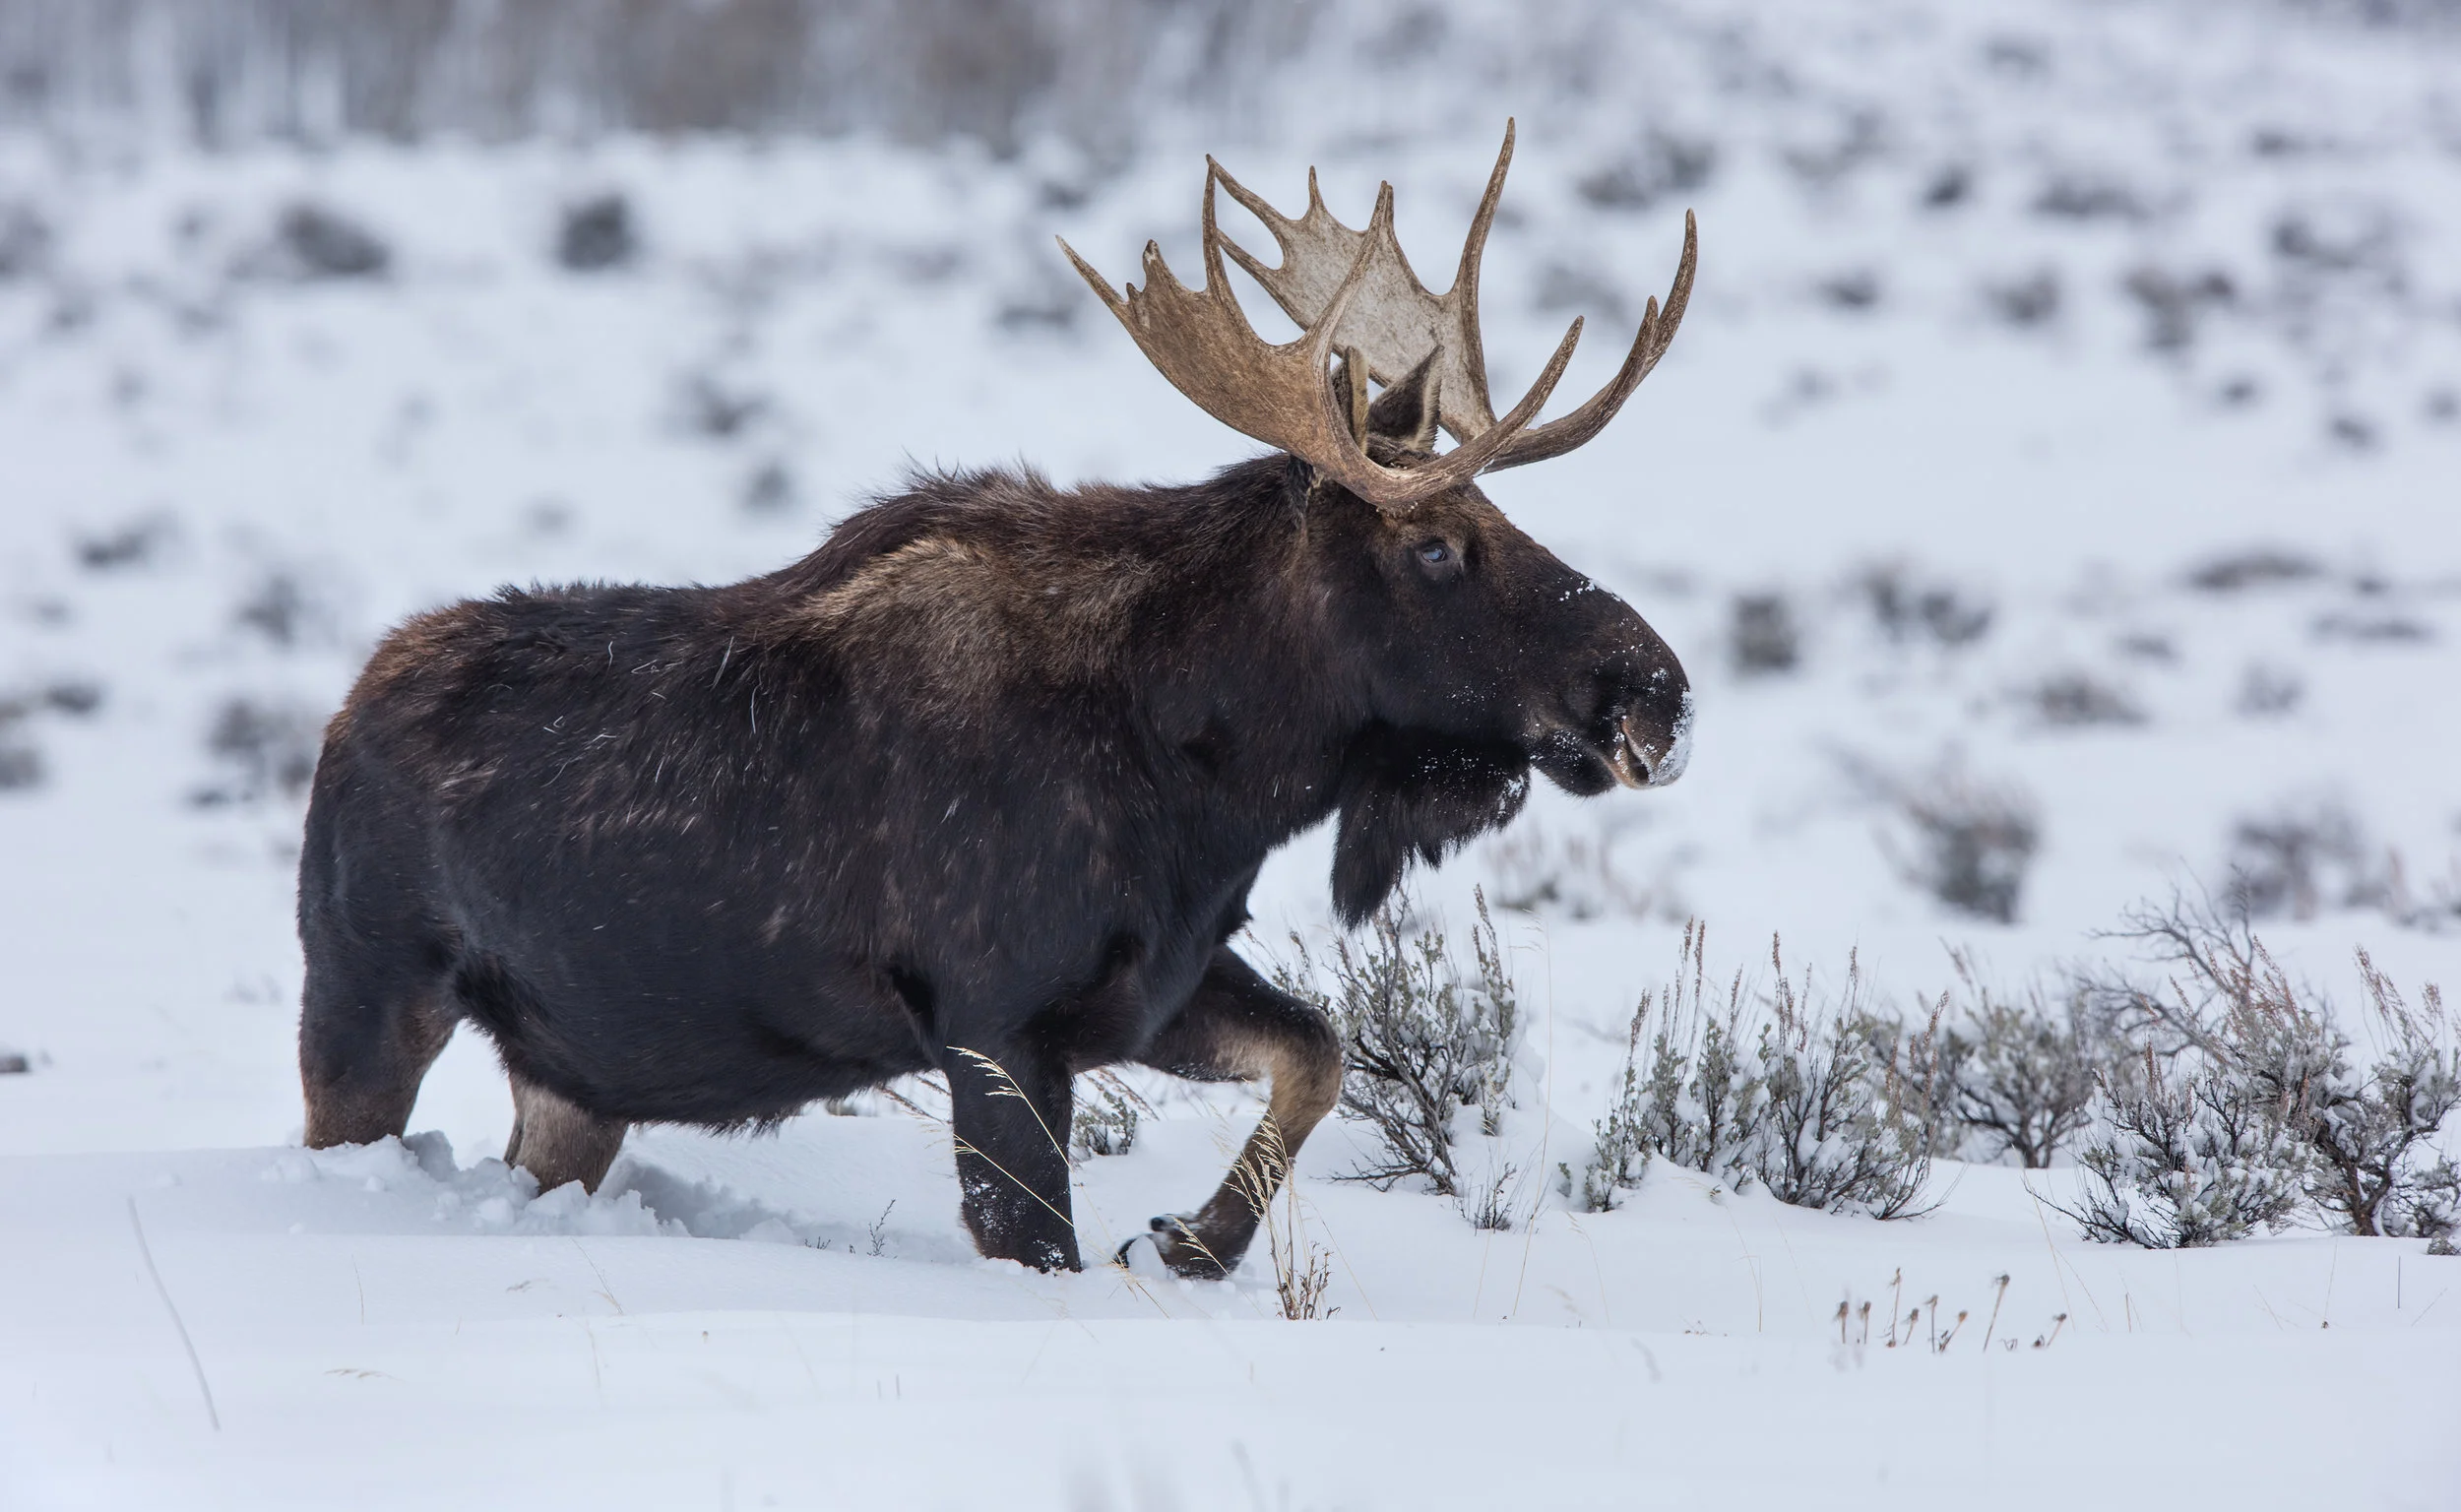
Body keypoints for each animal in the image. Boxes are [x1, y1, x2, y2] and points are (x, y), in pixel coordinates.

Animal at [297, 122, 1695, 1277]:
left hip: (572, 1084)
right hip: (364, 998)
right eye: (1437, 546)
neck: (1214, 773)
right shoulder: (995, 1021)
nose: (1658, 696)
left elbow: (1321, 1051)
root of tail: (344, 713)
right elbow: (1039, 1242)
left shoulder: (1150, 984)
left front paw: (1194, 1240)